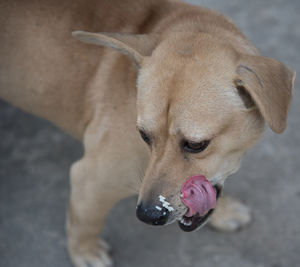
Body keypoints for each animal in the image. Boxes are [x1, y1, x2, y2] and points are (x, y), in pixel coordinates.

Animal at [0, 0, 296, 267]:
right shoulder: (91, 178)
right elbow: (85, 219)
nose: (147, 215)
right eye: (143, 135)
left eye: (196, 144)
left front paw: (223, 211)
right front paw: (84, 251)